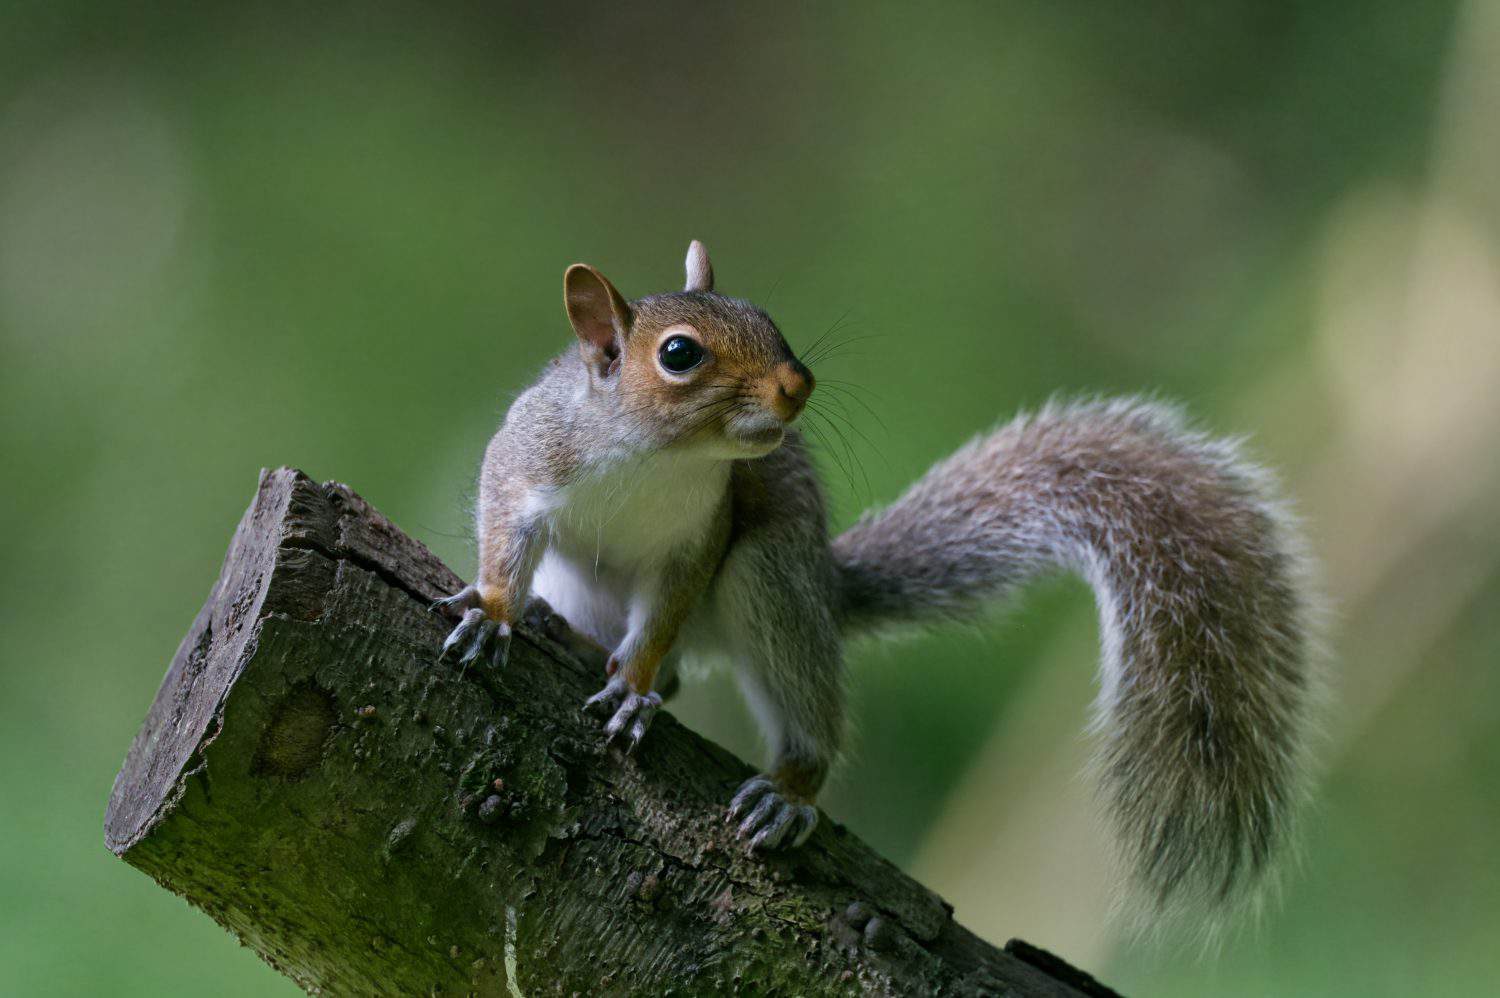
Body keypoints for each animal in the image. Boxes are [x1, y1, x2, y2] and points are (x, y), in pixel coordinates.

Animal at [435, 240, 1322, 926]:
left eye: (767, 317)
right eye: (679, 353)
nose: (798, 384)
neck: (655, 460)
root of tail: (827, 587)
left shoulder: (701, 541)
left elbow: (660, 625)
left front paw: (634, 685)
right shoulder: (525, 466)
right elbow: (504, 536)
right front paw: (496, 611)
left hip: (770, 579)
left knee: (778, 696)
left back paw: (789, 788)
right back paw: (563, 630)